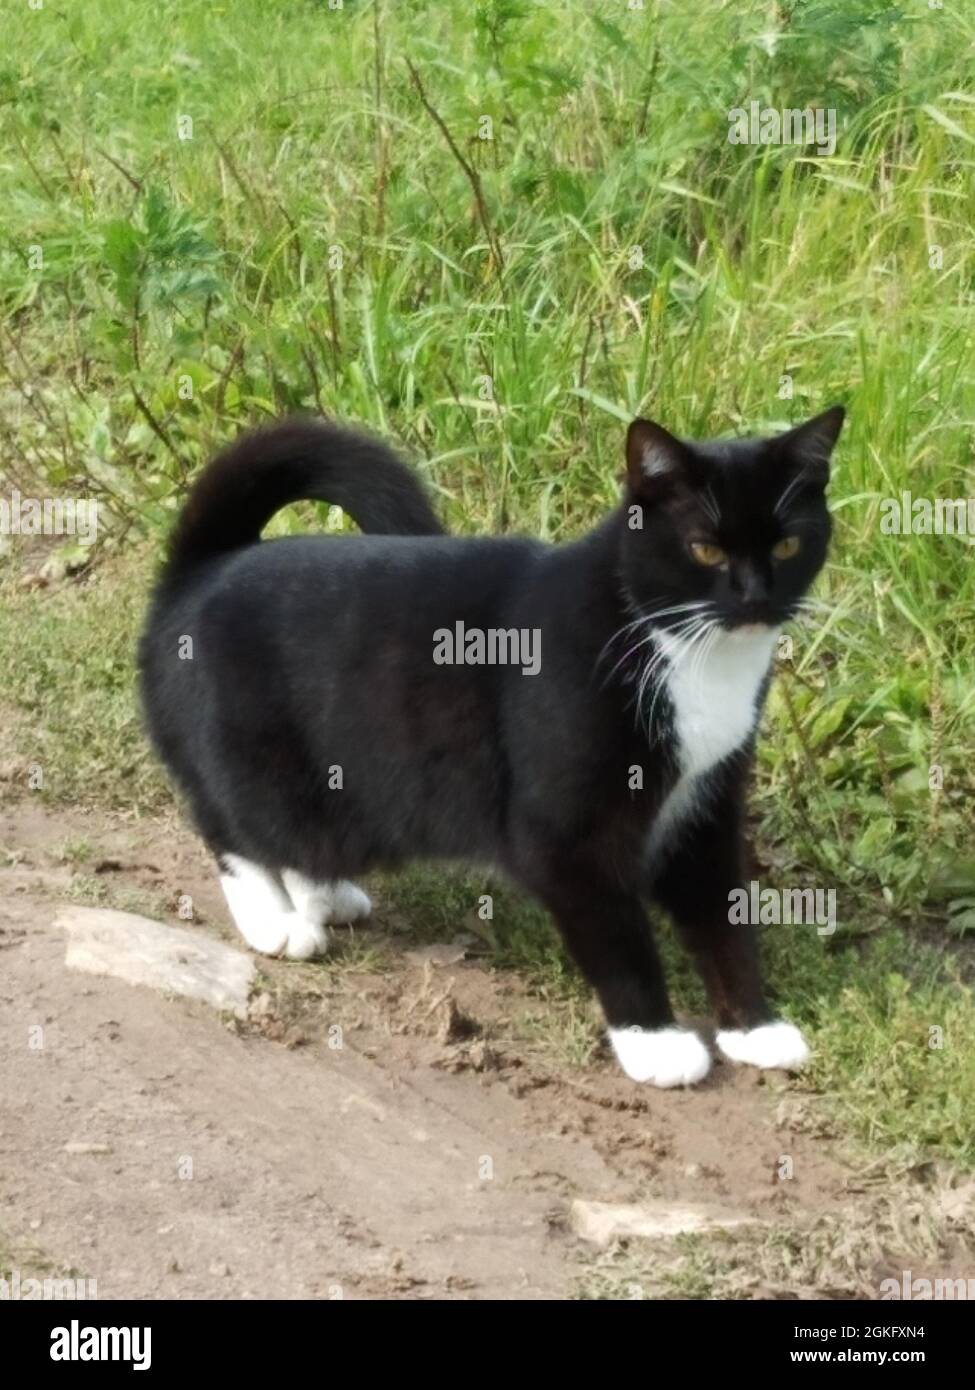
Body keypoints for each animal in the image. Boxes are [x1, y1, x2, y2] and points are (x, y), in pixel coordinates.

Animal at [139, 405, 845, 1089]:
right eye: (704, 548)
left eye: (787, 543)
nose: (756, 596)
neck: (680, 647)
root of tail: (201, 568)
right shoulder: (564, 834)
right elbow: (618, 937)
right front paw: (655, 1041)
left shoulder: (707, 802)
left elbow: (723, 918)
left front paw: (752, 1027)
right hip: (255, 753)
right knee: (231, 824)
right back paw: (276, 919)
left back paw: (322, 894)